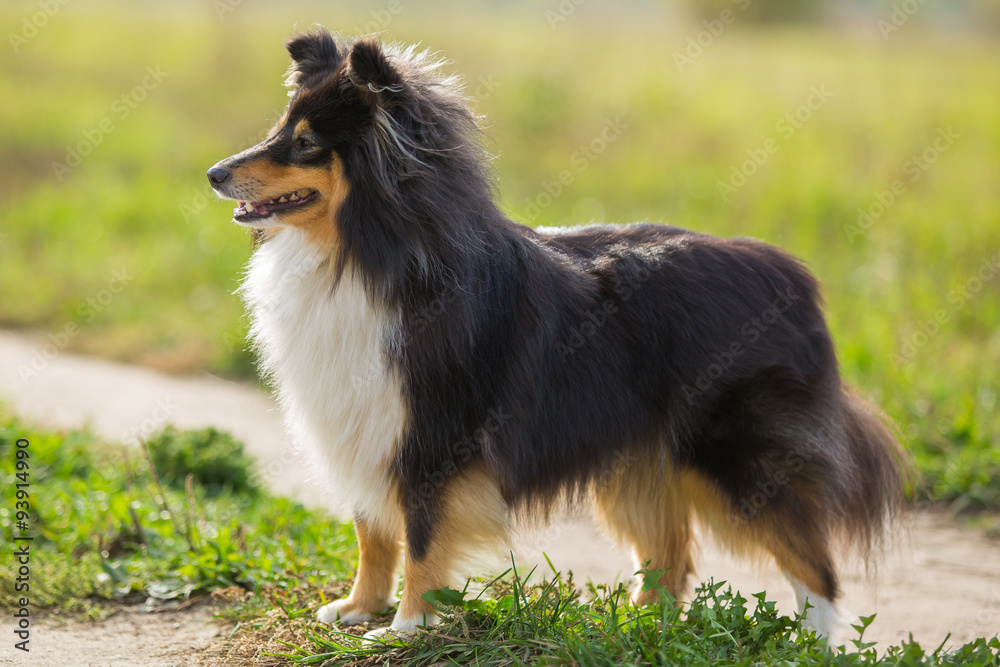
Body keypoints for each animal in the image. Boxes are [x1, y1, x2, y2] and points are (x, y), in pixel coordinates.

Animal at [209, 27, 908, 640]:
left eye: (305, 144)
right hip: (642, 462)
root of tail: (793, 278)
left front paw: (405, 628)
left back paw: (807, 645)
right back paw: (634, 631)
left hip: (738, 457)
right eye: (278, 130)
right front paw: (357, 609)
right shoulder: (362, 420)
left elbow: (422, 534)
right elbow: (371, 531)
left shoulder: (434, 433)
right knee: (670, 560)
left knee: (813, 566)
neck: (362, 254)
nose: (214, 173)